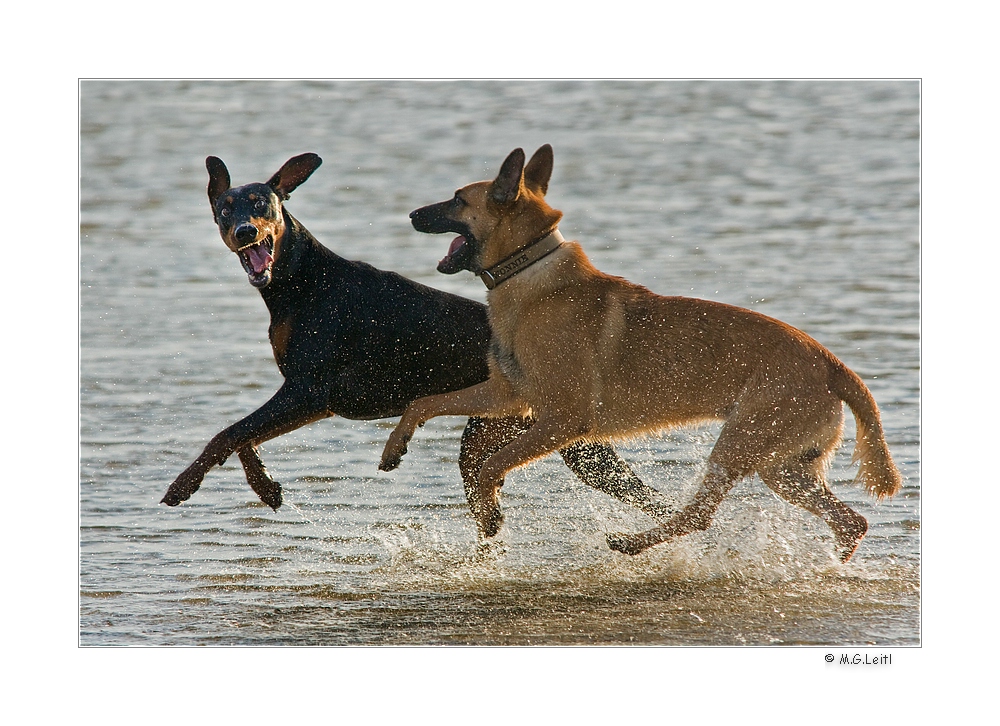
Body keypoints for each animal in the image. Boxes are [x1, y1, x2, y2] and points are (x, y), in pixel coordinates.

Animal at [160, 152, 672, 524]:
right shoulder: (316, 397)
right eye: (224, 209)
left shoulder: (311, 389)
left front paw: (183, 485)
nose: (246, 232)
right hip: (533, 434)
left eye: (263, 204)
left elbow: (228, 433)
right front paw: (266, 487)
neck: (300, 284)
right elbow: (242, 436)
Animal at [378, 144, 904, 564]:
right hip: (782, 467)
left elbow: (489, 465)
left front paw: (488, 510)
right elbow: (423, 403)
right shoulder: (508, 396)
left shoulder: (561, 421)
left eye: (456, 199)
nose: (410, 215)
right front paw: (393, 448)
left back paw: (630, 543)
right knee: (849, 521)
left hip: (738, 448)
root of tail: (835, 366)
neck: (529, 275)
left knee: (699, 516)